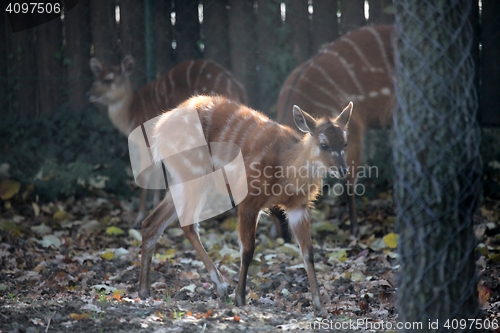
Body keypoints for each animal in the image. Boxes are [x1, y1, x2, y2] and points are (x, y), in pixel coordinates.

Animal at [88, 56, 248, 223]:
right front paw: (154, 205)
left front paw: (140, 216)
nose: (89, 95)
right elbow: (158, 174)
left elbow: (145, 175)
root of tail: (237, 88)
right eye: (95, 78)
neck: (131, 113)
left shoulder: (145, 141)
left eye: (108, 80)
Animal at [139, 95, 354, 314]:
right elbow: (248, 249)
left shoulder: (298, 206)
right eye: (324, 144)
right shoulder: (249, 198)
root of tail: (158, 130)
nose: (343, 170)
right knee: (187, 224)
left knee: (152, 223)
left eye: (345, 143)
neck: (285, 169)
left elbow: (308, 252)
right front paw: (240, 298)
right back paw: (221, 286)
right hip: (194, 175)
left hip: (181, 180)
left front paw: (320, 306)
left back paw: (144, 291)